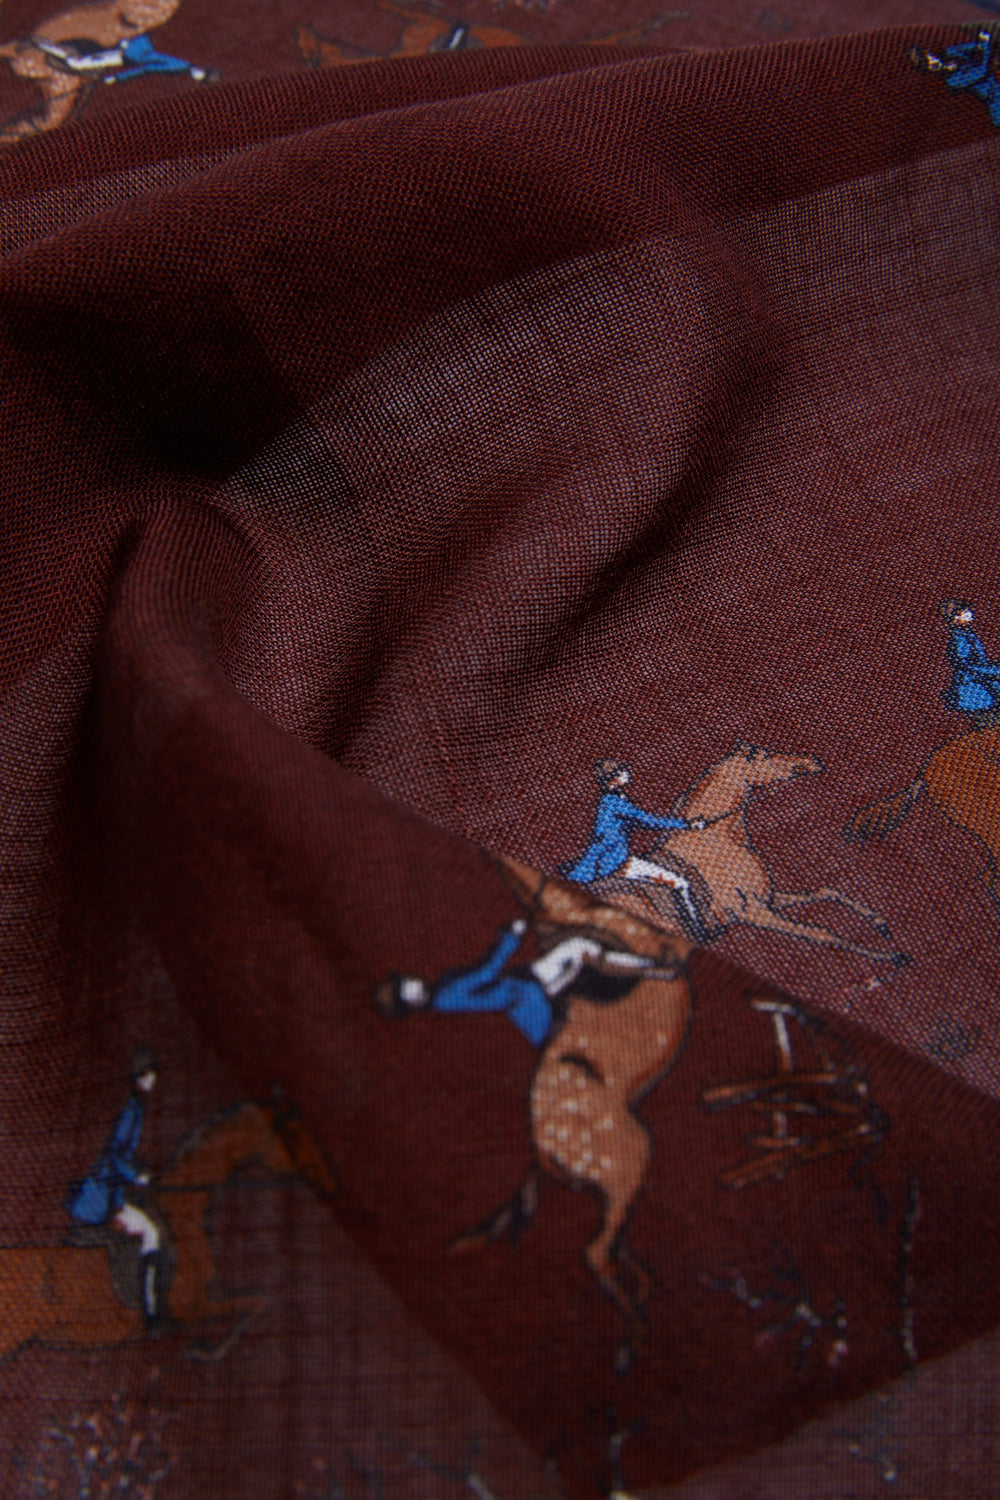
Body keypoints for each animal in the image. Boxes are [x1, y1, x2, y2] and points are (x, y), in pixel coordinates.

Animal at [0, 1097, 335, 1366]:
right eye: (294, 1134)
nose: (328, 1182)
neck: (181, 1211)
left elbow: (258, 1302)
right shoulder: (195, 1307)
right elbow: (258, 1303)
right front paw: (204, 1352)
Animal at [455, 857, 693, 1370]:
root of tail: (540, 1152)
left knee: (612, 1243)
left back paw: (639, 1299)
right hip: (633, 1153)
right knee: (595, 1250)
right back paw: (633, 1334)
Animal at [590, 743, 908, 968]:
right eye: (765, 757)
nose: (811, 761)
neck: (716, 842)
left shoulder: (770, 898)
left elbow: (826, 892)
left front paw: (881, 926)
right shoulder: (755, 913)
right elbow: (821, 933)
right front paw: (889, 956)